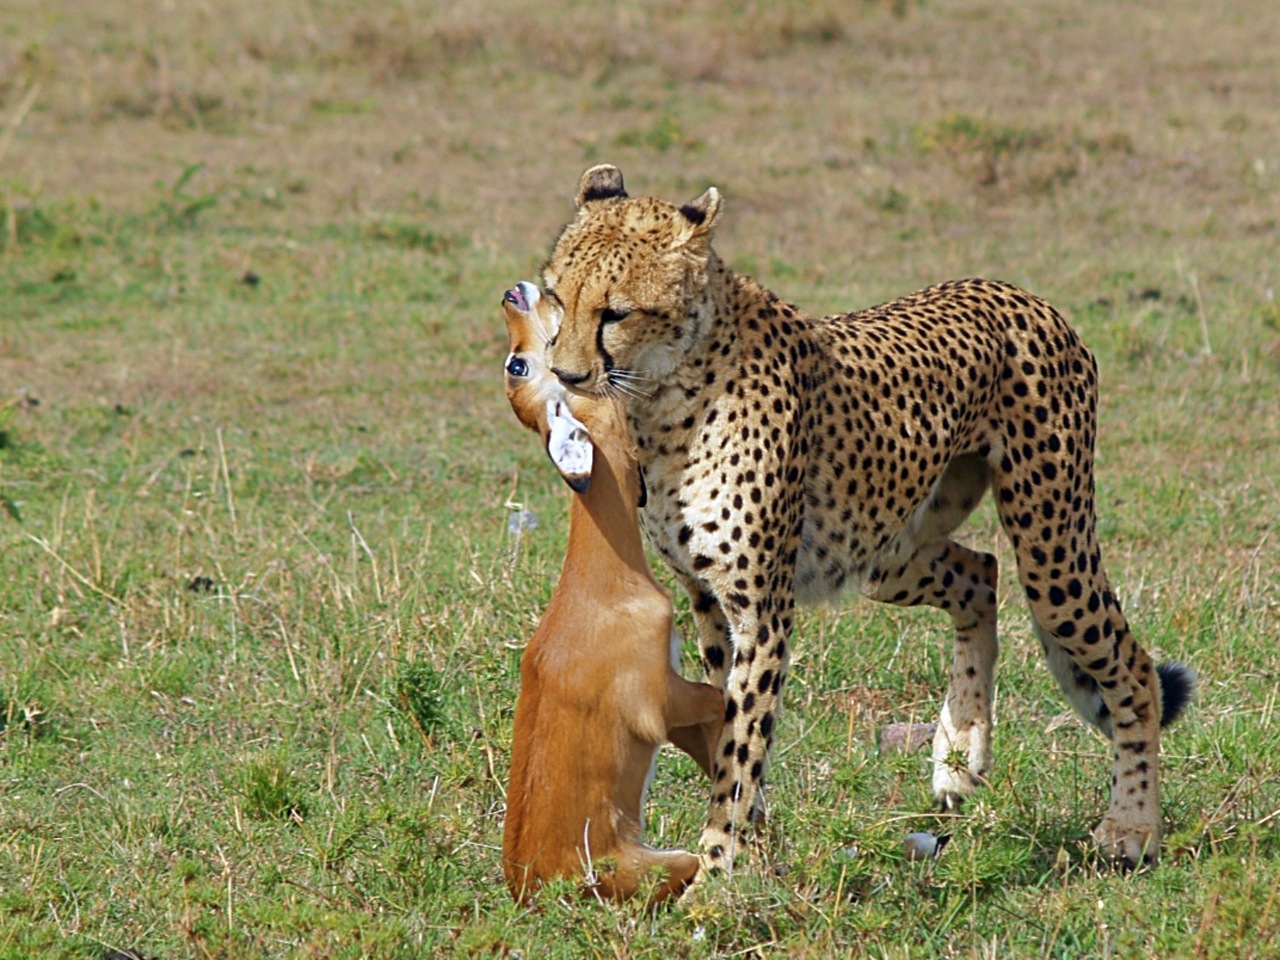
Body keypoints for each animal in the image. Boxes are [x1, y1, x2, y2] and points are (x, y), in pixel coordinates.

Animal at [538, 163, 1194, 873]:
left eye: (616, 312)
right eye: (555, 298)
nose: (565, 373)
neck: (666, 391)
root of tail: (1017, 292)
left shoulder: (762, 608)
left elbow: (741, 747)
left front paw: (714, 872)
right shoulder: (707, 598)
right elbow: (726, 731)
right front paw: (754, 849)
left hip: (1051, 548)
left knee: (1131, 665)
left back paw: (1132, 826)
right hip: (884, 552)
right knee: (979, 573)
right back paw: (959, 751)